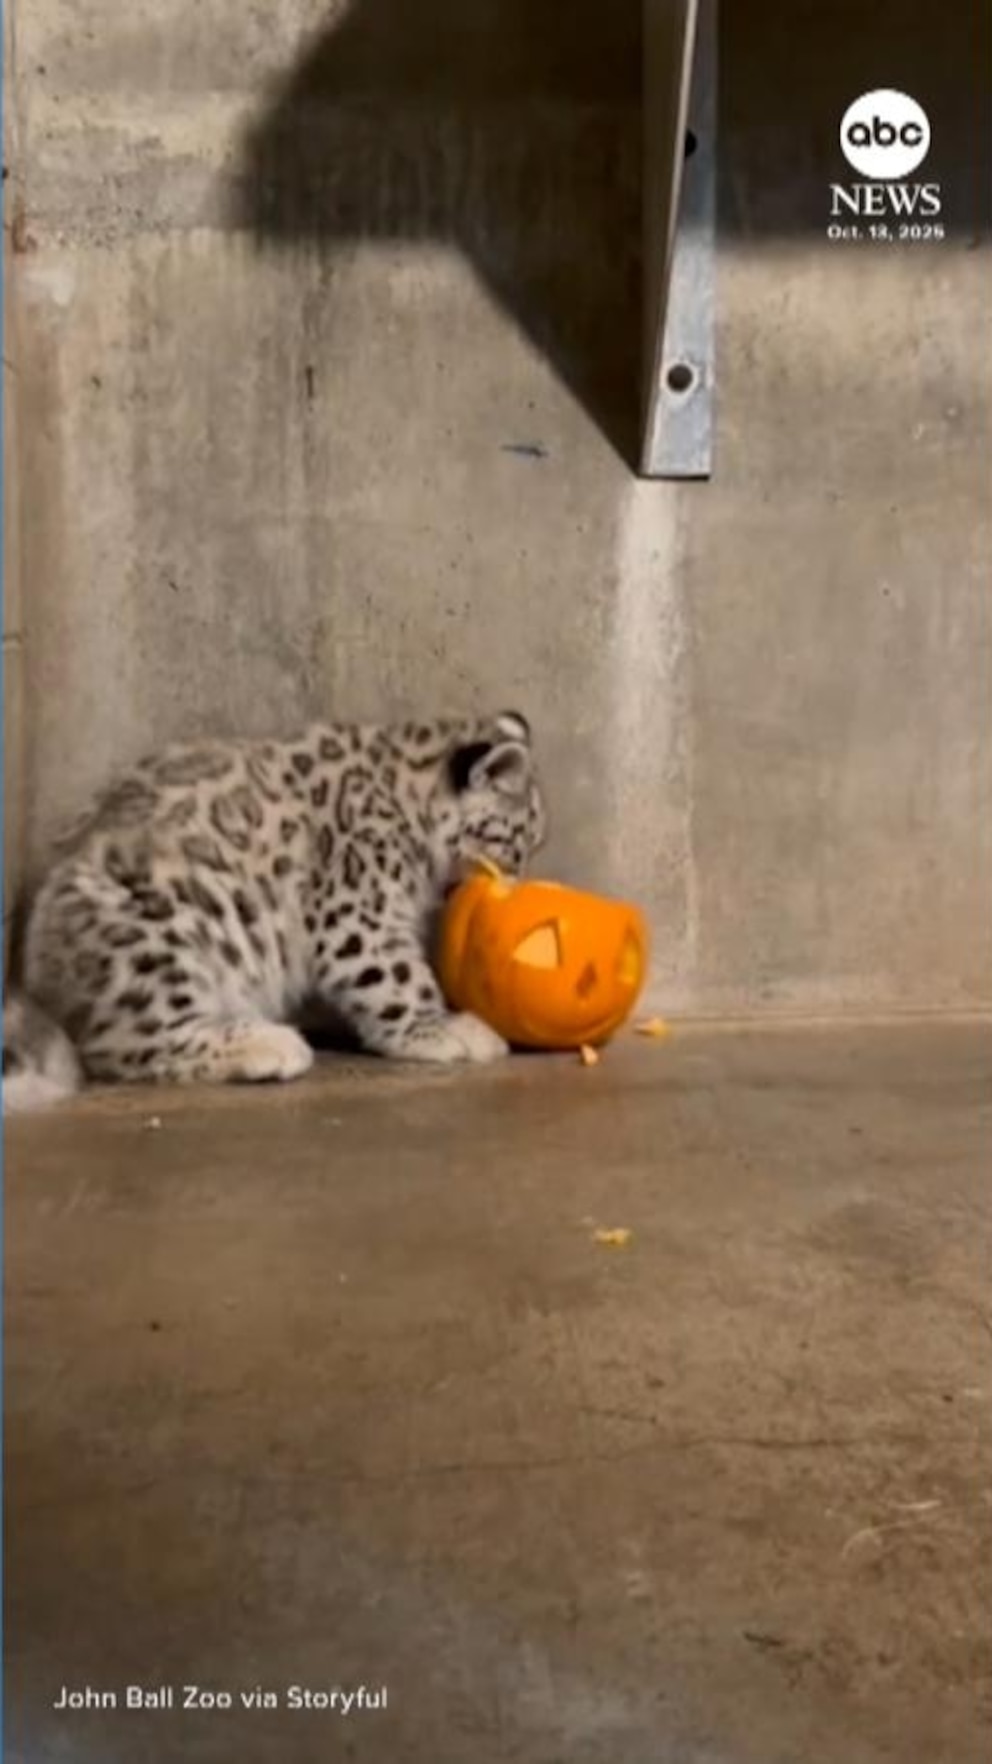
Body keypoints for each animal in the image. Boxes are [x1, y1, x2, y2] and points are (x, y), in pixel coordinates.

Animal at [2, 710, 547, 1110]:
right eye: (519, 841)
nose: (519, 880)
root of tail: (40, 974)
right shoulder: (357, 914)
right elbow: (397, 977)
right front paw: (447, 1029)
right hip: (158, 932)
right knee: (125, 1044)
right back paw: (269, 1045)